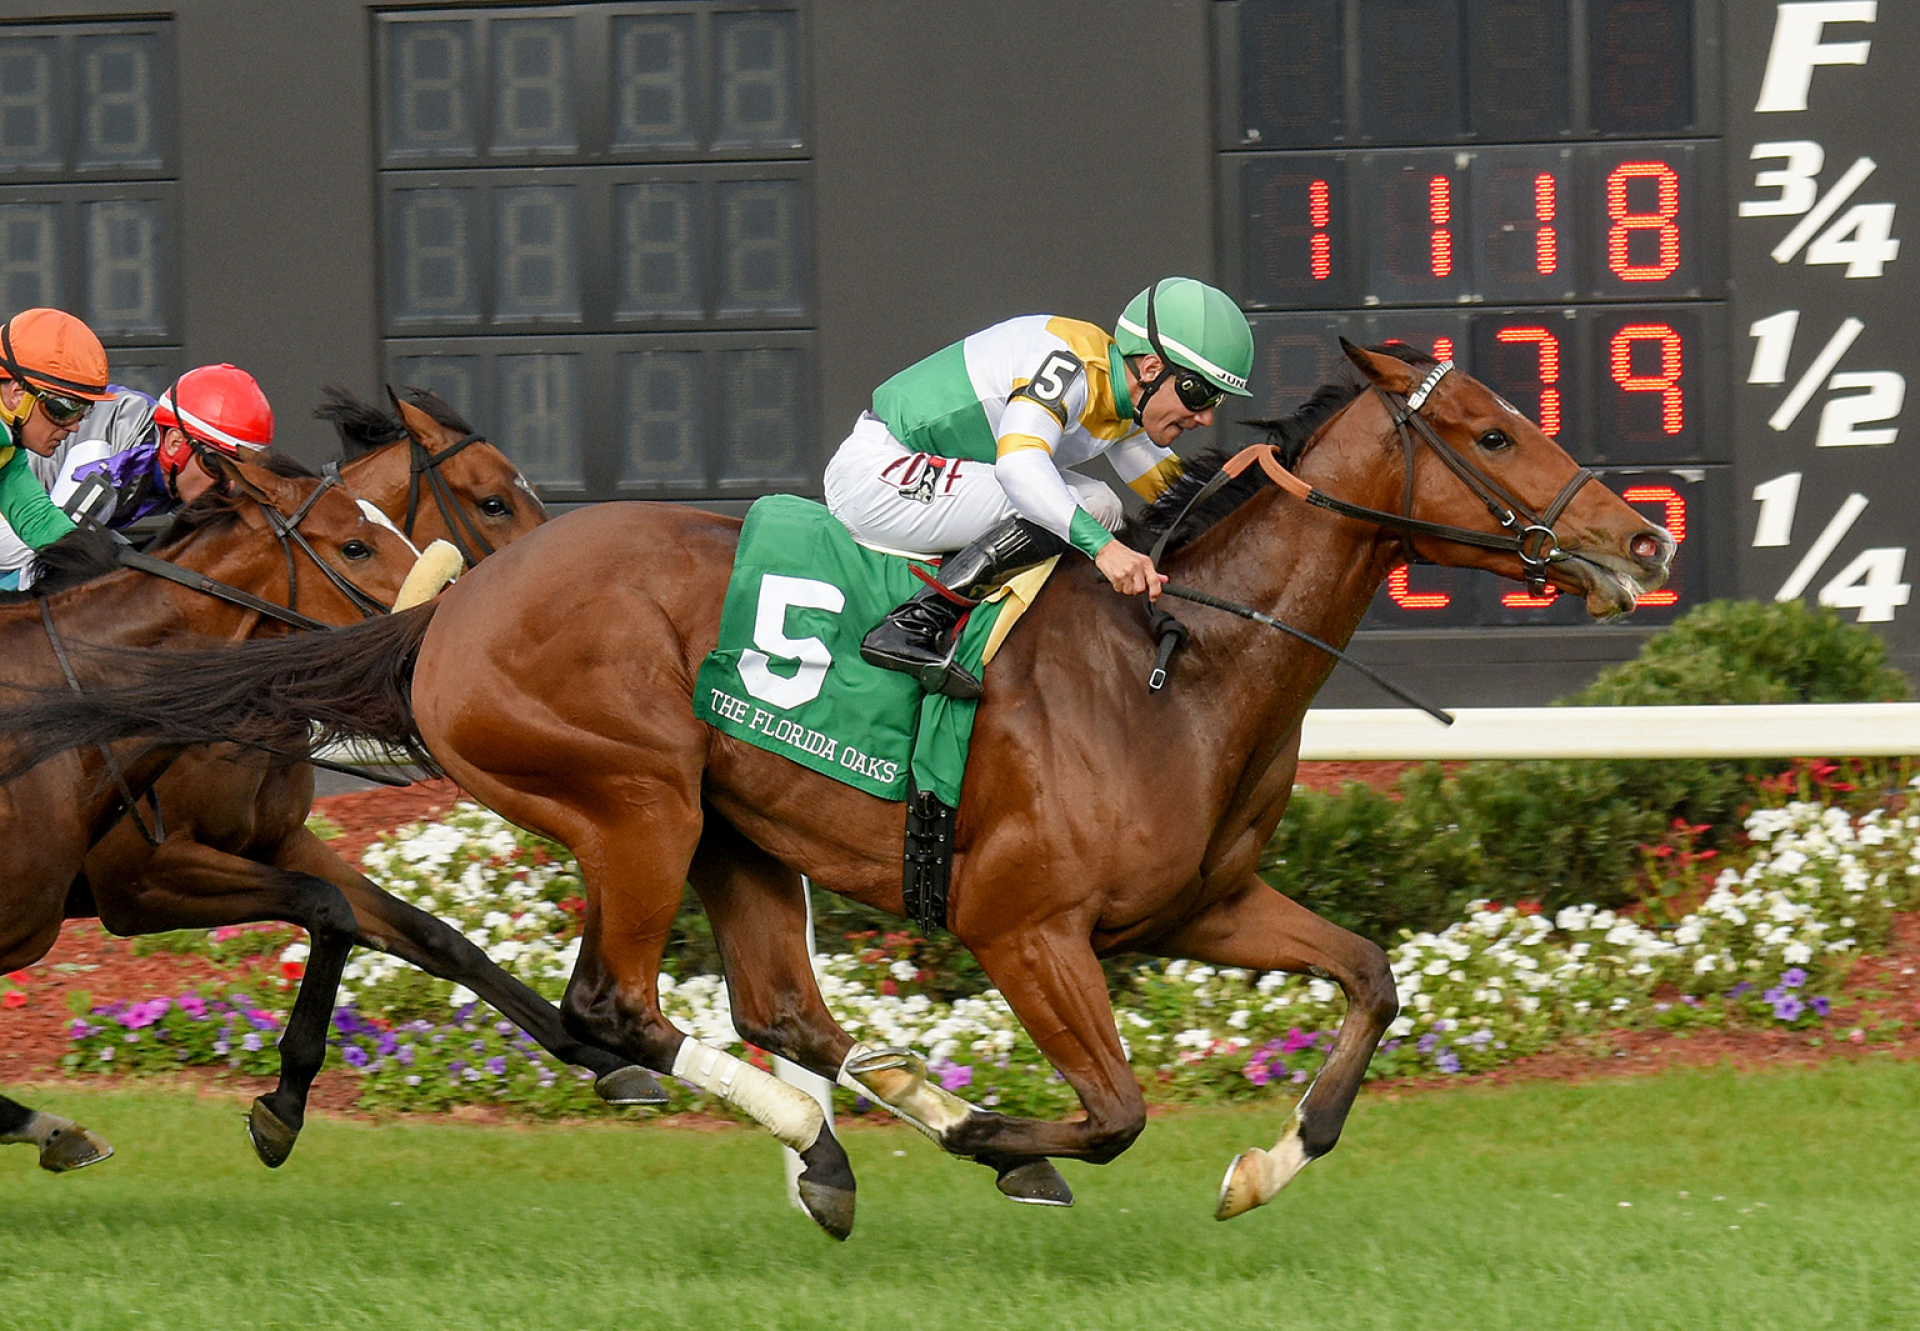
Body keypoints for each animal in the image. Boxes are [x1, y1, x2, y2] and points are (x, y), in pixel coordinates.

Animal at [0, 345, 1681, 1236]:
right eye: (1489, 428)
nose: (1644, 538)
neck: (1181, 663)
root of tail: (447, 613)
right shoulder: (1022, 923)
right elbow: (1117, 1107)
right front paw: (1007, 1134)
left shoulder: (1204, 904)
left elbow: (1373, 974)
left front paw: (1266, 1159)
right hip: (638, 797)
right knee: (623, 1005)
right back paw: (827, 1135)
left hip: (734, 828)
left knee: (775, 1012)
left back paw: (847, 1133)